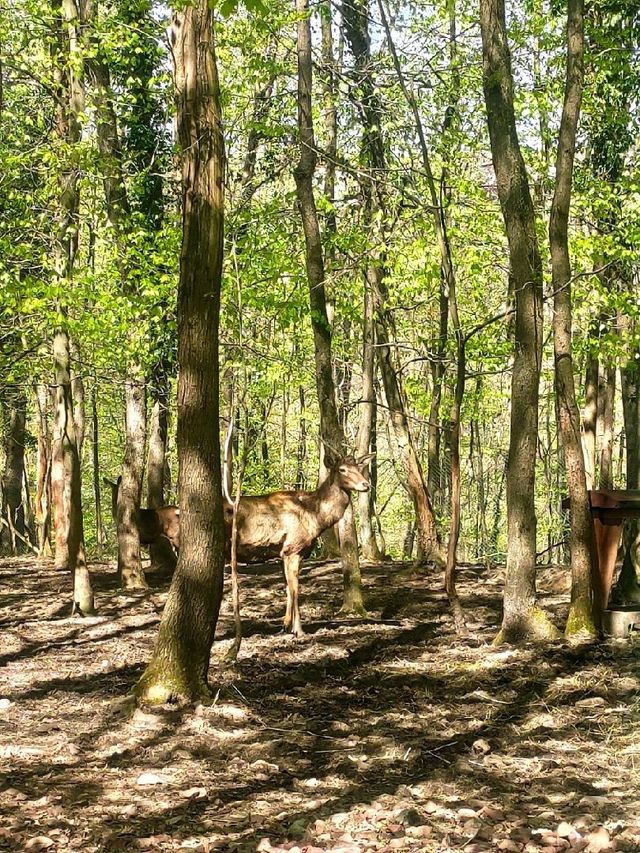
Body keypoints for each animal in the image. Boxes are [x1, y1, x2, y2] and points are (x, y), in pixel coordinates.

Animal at [225, 456, 372, 636]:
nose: (366, 484)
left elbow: (288, 588)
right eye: (342, 469)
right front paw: (299, 630)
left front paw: (286, 626)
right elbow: (295, 590)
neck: (316, 517)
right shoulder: (292, 549)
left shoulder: (286, 553)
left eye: (359, 467)